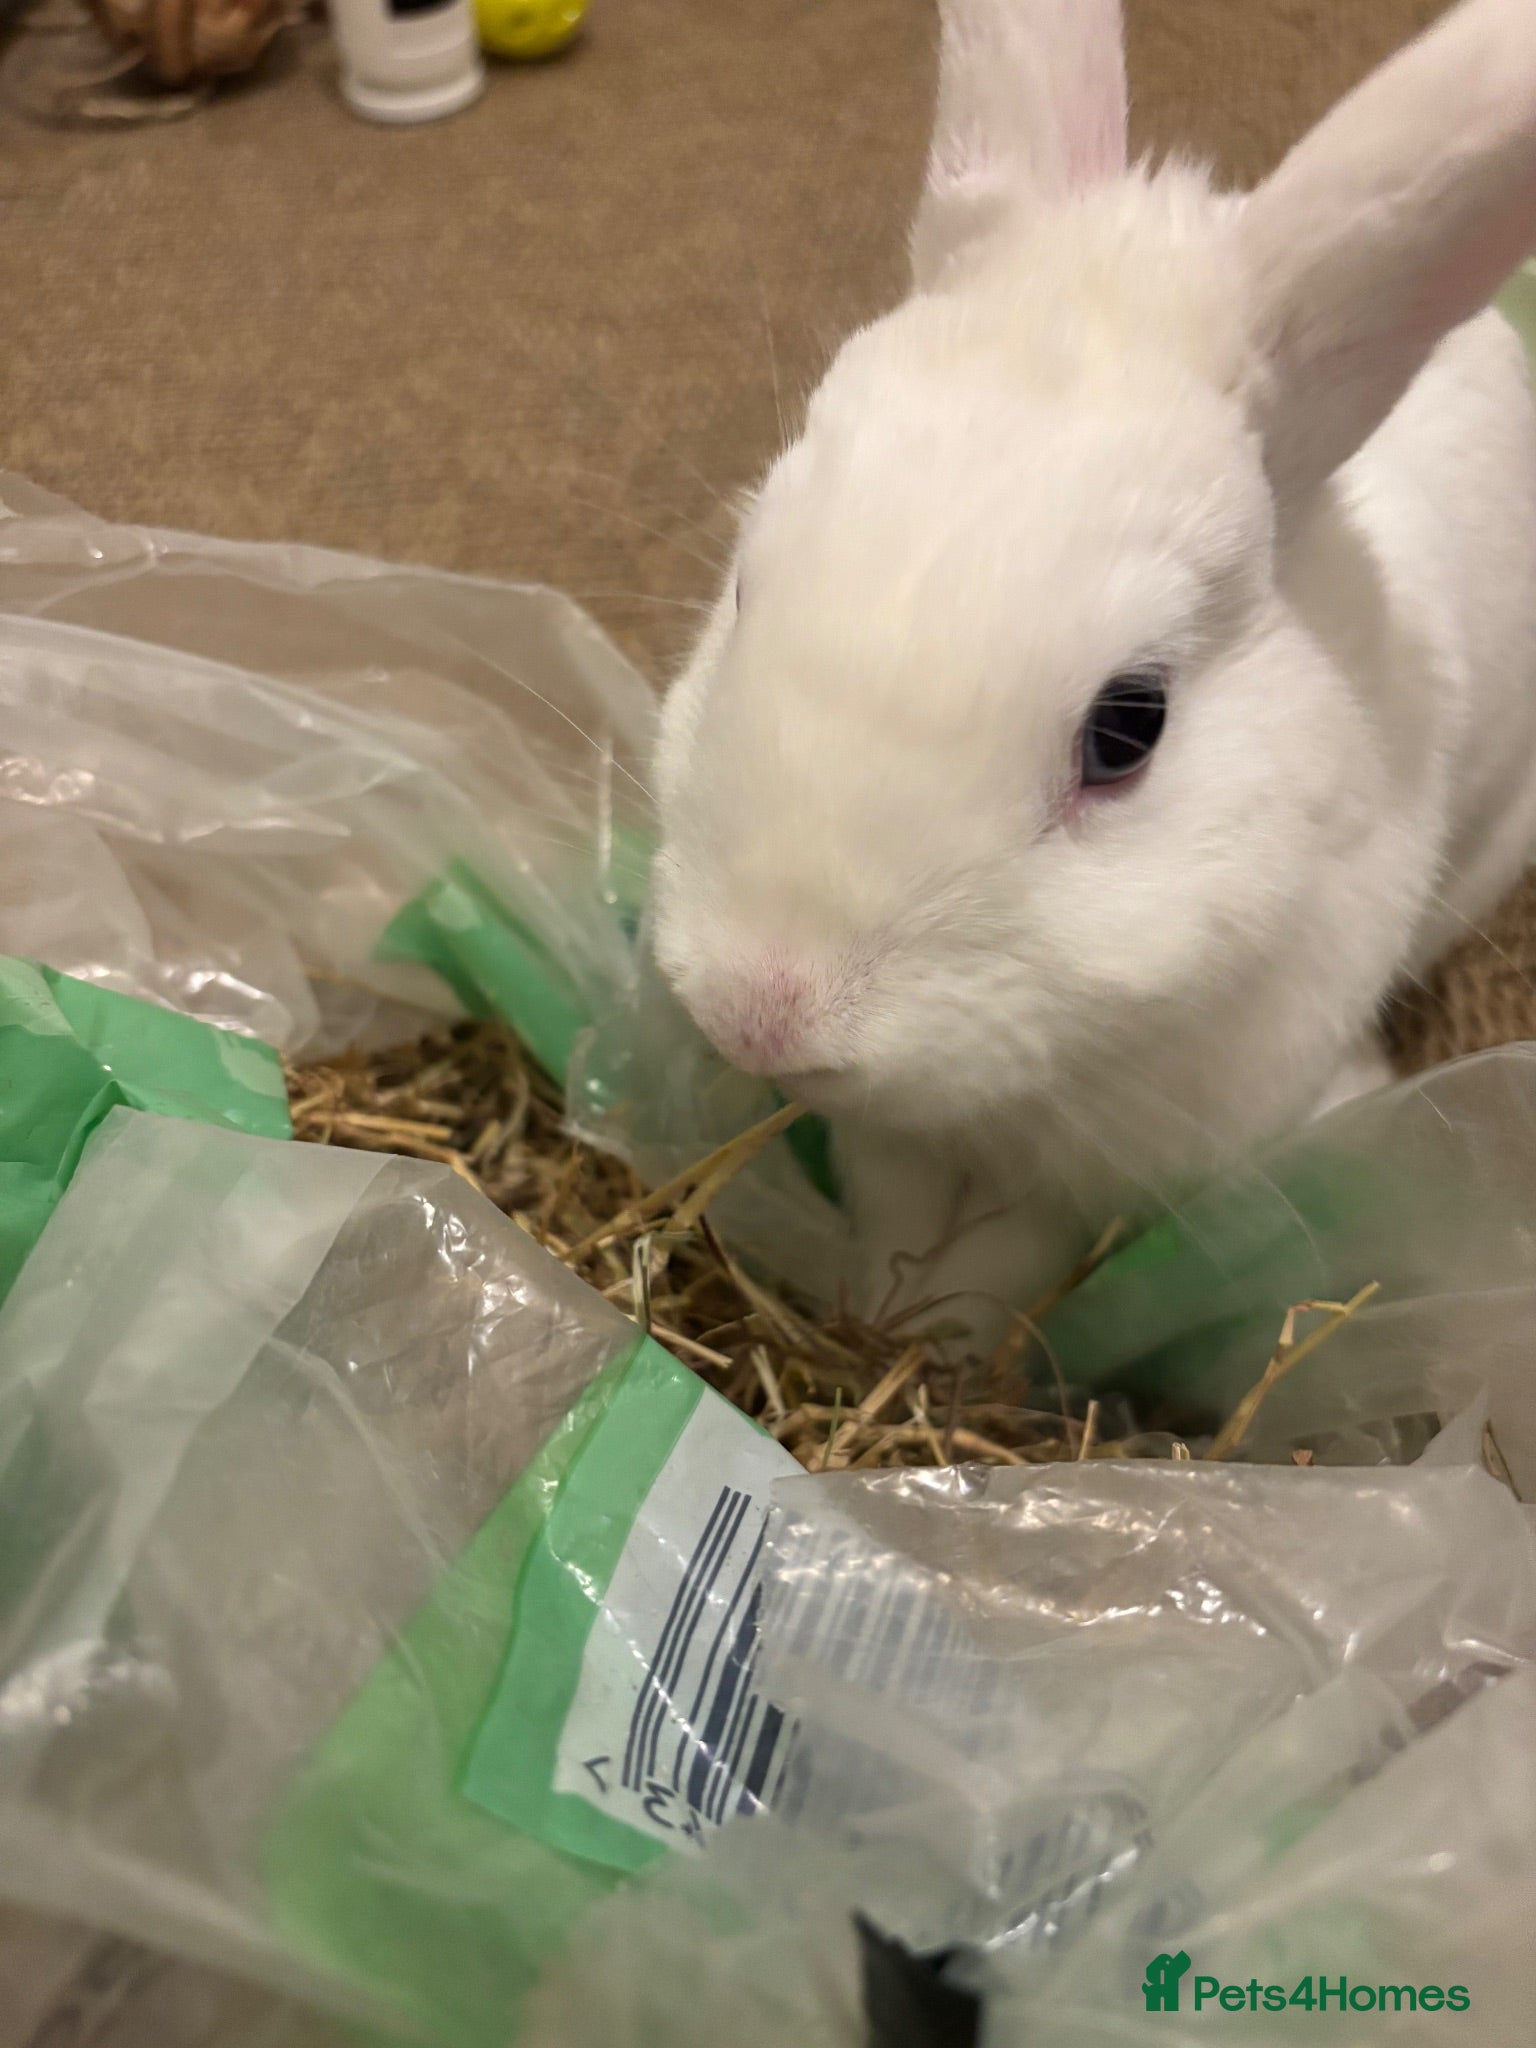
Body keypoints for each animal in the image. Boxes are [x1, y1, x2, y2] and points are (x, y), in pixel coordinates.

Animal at [649, 0, 1536, 1340]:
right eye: (747, 584)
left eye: (1129, 728)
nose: (763, 1010)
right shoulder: (893, 1137)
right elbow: (894, 1197)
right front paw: (886, 1299)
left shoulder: (1122, 1164)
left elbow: (1012, 1257)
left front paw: (949, 1331)